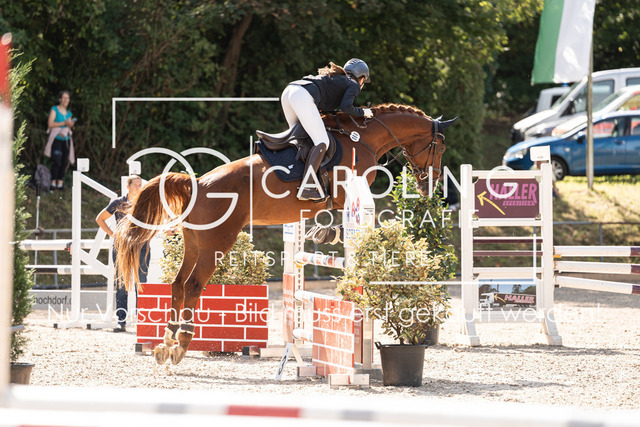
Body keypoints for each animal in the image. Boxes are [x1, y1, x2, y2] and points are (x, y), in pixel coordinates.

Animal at [114, 103, 455, 365]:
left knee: (178, 284)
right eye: (440, 147)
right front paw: (329, 233)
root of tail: (197, 183)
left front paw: (324, 232)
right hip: (216, 243)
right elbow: (343, 219)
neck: (364, 138)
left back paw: (166, 343)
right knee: (194, 285)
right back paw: (182, 342)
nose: (431, 186)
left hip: (195, 243)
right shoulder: (345, 192)